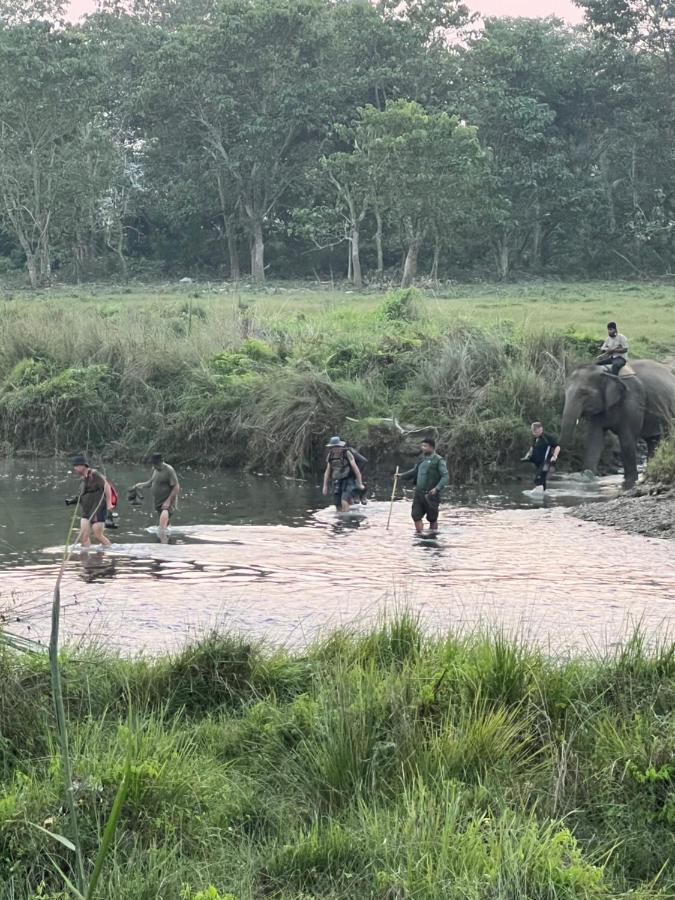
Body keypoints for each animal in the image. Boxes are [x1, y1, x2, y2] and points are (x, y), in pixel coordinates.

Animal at [560, 360, 675, 488]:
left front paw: (629, 482)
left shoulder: (632, 400)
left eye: (585, 393)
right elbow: (594, 440)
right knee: (653, 441)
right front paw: (587, 477)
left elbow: (627, 440)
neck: (607, 370)